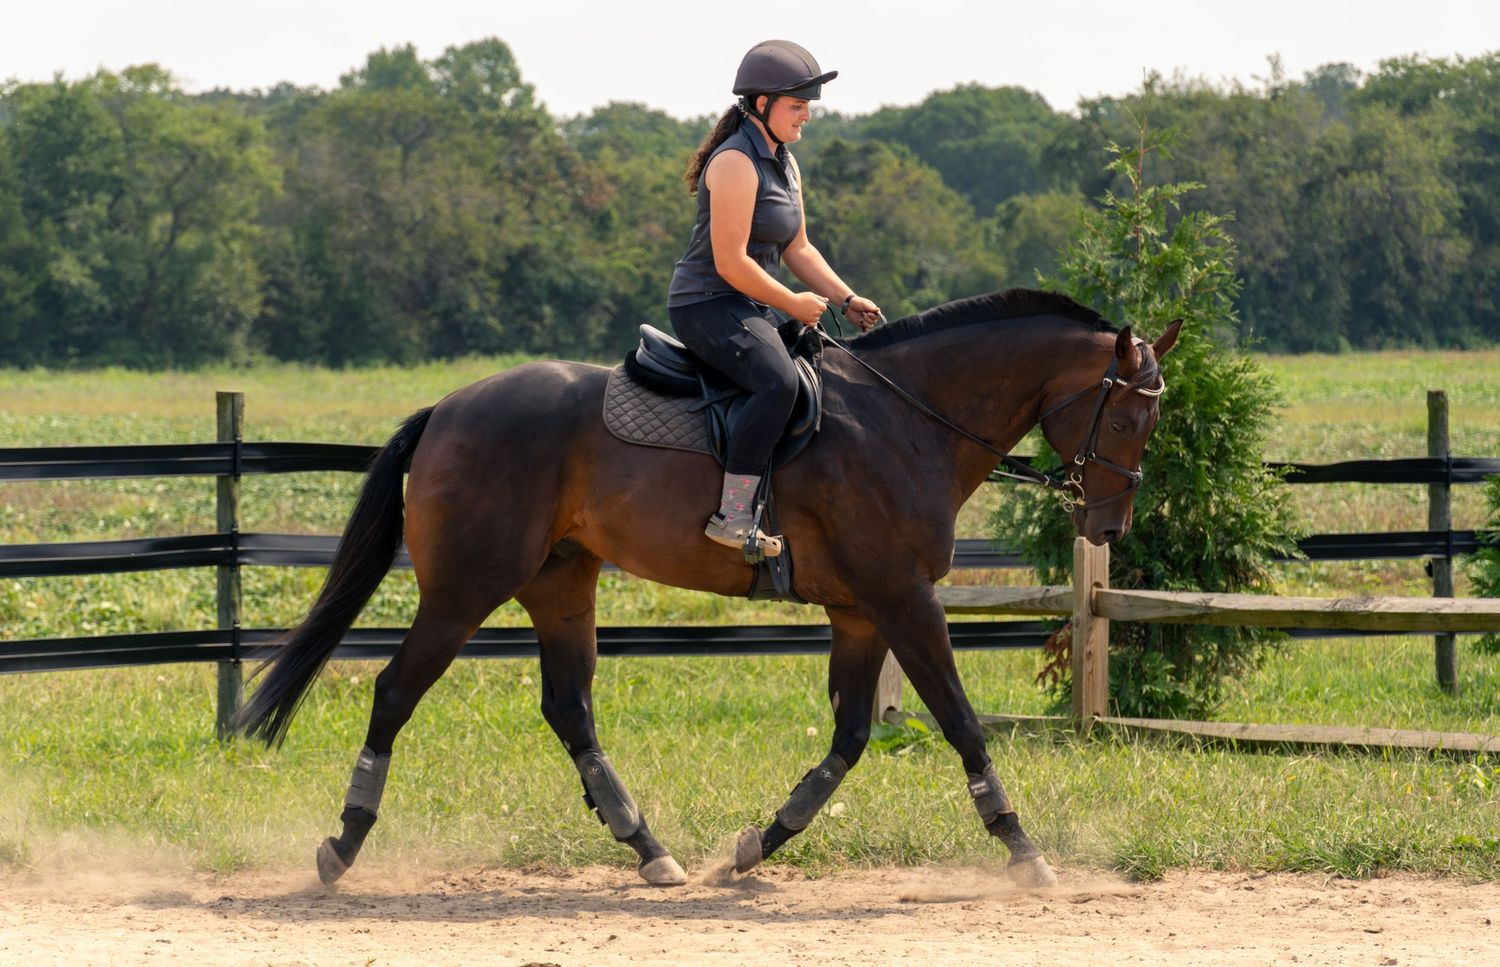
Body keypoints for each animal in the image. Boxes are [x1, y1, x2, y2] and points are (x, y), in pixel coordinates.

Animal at [236, 288, 1181, 889]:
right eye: (1132, 415)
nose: (1110, 526)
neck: (906, 418)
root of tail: (449, 407)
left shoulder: (859, 611)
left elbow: (848, 739)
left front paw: (759, 843)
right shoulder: (904, 598)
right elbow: (959, 720)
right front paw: (1023, 849)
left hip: (561, 583)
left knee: (569, 708)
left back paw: (650, 848)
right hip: (465, 589)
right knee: (395, 692)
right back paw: (342, 845)